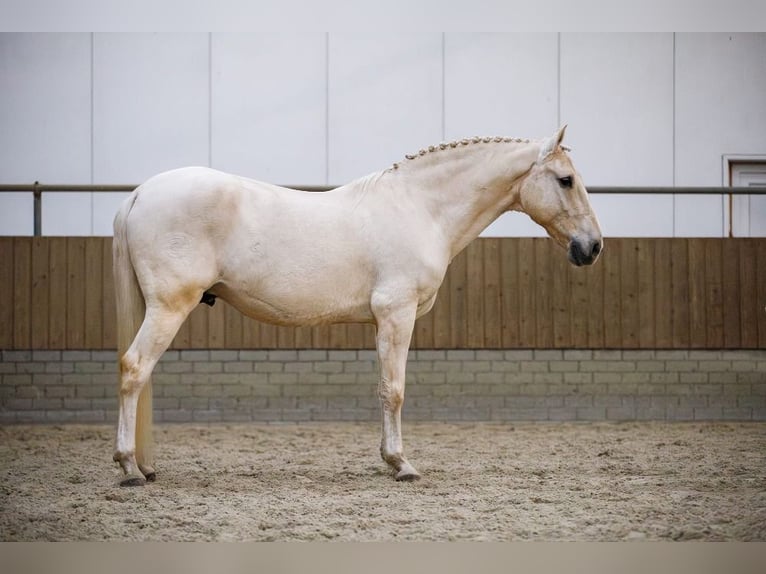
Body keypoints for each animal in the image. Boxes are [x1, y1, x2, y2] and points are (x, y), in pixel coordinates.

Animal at [114, 125, 608, 486]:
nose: (592, 248)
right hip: (169, 307)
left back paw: (146, 466)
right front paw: (401, 464)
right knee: (135, 369)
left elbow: (385, 387)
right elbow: (394, 389)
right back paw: (129, 467)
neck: (419, 207)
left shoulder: (382, 320)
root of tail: (140, 193)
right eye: (566, 180)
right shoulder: (396, 313)